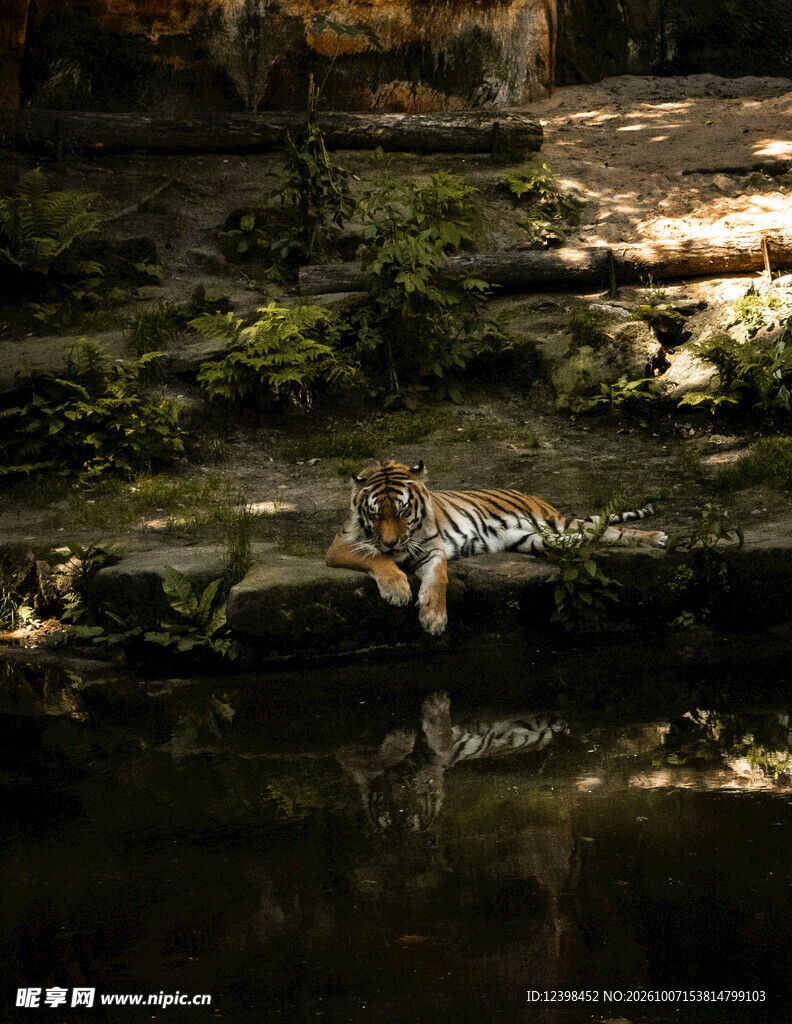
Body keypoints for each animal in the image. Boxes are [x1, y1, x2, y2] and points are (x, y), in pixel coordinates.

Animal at [326, 459, 668, 635]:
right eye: (375, 514)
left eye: (402, 511)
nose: (392, 542)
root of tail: (532, 495)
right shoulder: (341, 545)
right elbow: (376, 558)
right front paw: (398, 590)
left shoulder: (432, 551)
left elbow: (439, 580)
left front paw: (434, 617)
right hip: (543, 539)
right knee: (594, 535)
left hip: (555, 525)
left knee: (608, 529)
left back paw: (657, 538)